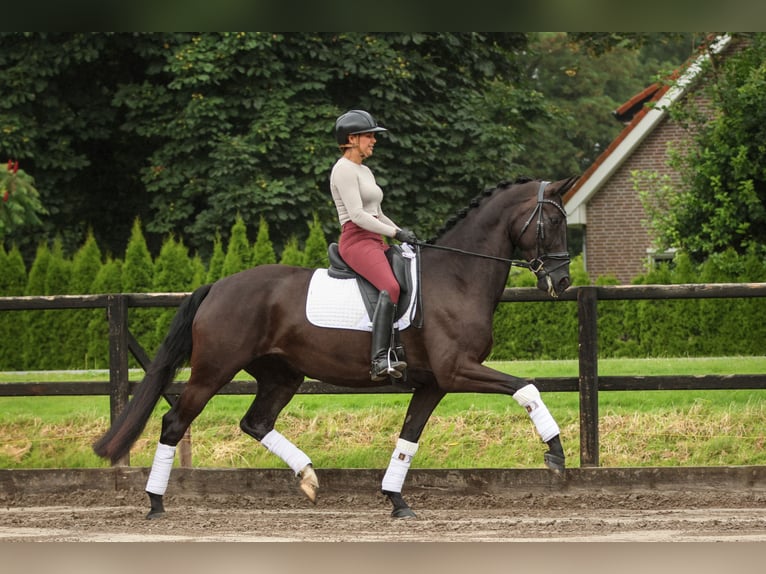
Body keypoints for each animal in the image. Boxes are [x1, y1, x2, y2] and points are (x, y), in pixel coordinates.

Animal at [93, 177, 580, 520]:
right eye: (555, 222)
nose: (561, 282)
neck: (457, 275)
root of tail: (218, 286)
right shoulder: (458, 369)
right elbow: (526, 387)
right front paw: (556, 455)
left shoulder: (433, 383)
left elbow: (409, 437)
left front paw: (396, 500)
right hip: (214, 370)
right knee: (175, 422)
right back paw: (156, 503)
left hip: (282, 375)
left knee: (256, 422)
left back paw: (308, 478)